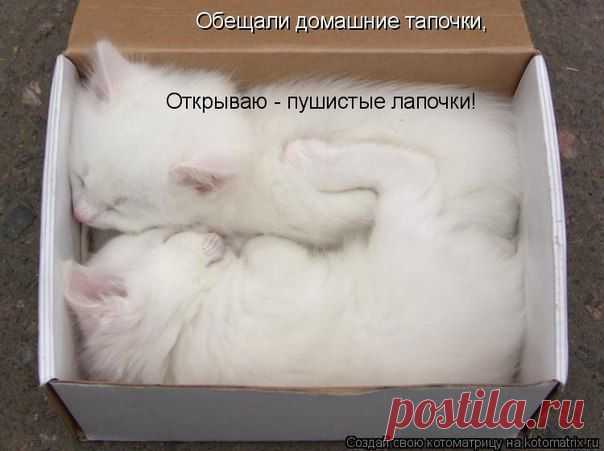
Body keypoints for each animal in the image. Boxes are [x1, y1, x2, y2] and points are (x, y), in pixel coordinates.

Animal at [64, 139, 523, 386]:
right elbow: (272, 250)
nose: (209, 232)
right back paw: (309, 156)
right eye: (167, 237)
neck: (178, 333)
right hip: (410, 227)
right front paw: (244, 244)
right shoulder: (277, 280)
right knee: (414, 171)